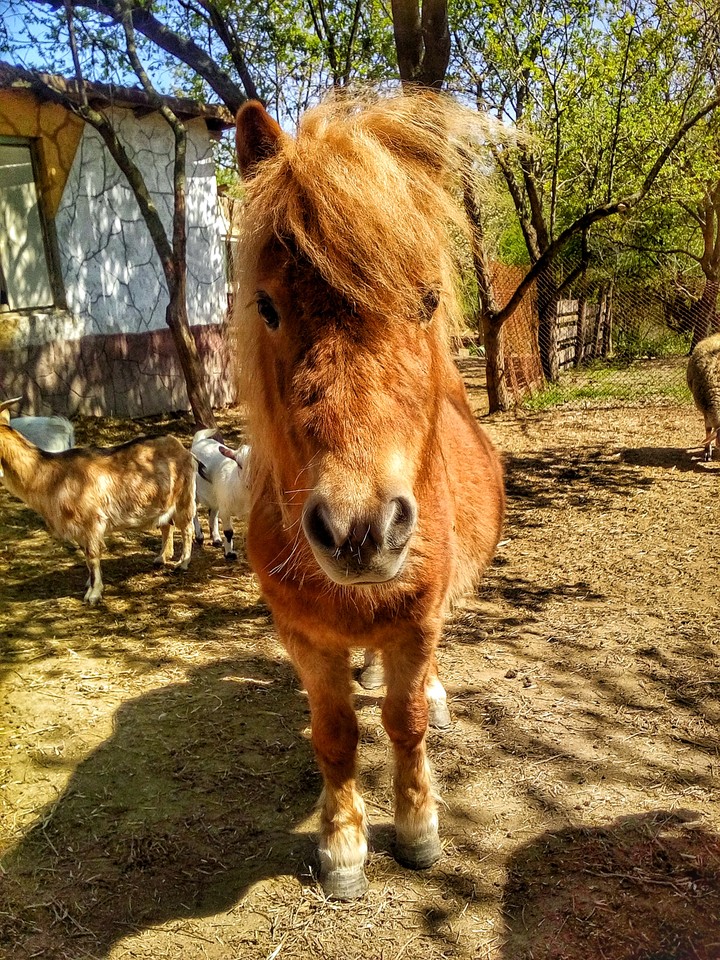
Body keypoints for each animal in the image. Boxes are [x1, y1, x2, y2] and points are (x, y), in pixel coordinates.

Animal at [233, 92, 505, 899]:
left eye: (427, 301)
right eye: (266, 307)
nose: (360, 530)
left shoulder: (416, 625)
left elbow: (405, 721)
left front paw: (417, 830)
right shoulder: (304, 637)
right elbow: (336, 734)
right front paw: (344, 845)